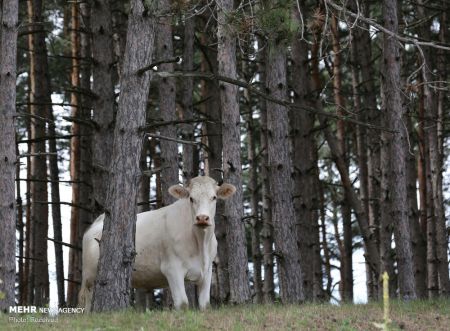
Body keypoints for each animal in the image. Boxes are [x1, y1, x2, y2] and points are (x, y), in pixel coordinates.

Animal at [78, 176, 236, 312]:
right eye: (191, 198)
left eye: (214, 197)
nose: (202, 218)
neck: (200, 243)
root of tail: (97, 221)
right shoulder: (172, 268)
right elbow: (183, 303)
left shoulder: (207, 270)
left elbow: (205, 305)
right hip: (89, 278)